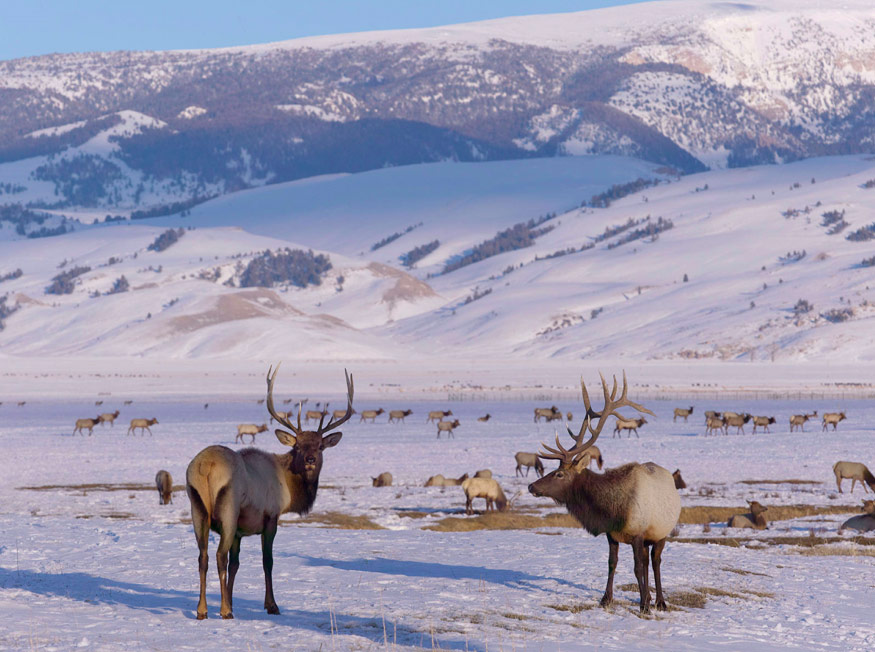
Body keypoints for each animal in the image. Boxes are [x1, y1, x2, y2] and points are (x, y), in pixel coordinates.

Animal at [186, 364, 354, 620]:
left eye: (320, 446)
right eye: (298, 446)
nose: (310, 460)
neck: (290, 488)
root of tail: (206, 467)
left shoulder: (239, 532)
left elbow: (236, 564)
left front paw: (232, 600)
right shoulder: (271, 516)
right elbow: (267, 561)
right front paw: (271, 605)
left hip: (197, 509)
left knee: (202, 556)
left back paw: (202, 610)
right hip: (228, 509)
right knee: (218, 556)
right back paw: (224, 611)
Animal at [524, 370, 680, 612]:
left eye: (560, 474)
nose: (532, 486)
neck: (613, 510)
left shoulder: (637, 533)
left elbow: (637, 567)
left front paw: (644, 604)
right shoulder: (612, 534)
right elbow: (612, 563)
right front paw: (607, 599)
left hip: (662, 531)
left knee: (654, 562)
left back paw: (659, 601)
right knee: (647, 561)